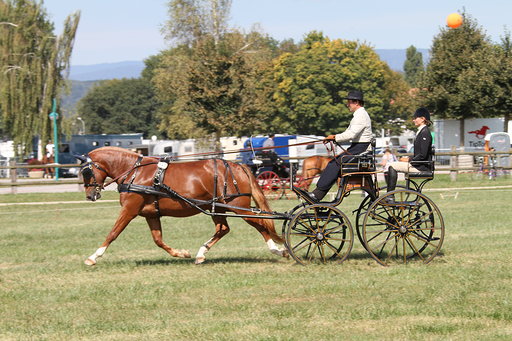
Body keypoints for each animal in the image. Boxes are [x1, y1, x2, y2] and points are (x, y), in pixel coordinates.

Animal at [76, 146, 288, 266]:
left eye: (87, 172)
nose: (90, 195)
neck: (134, 173)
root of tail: (238, 166)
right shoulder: (151, 214)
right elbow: (158, 240)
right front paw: (181, 253)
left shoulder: (130, 210)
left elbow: (113, 233)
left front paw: (93, 257)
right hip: (217, 207)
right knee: (223, 229)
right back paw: (201, 254)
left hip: (238, 206)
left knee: (260, 223)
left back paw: (279, 250)